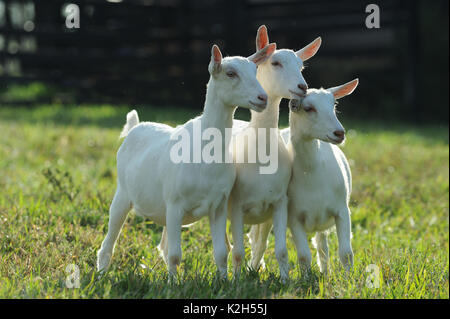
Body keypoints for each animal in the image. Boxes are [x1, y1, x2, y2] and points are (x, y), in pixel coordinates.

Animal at [96, 43, 276, 278]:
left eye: (255, 71)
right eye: (230, 73)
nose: (262, 98)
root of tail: (135, 127)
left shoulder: (218, 205)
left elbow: (220, 252)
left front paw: (223, 281)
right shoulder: (175, 204)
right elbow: (175, 255)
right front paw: (172, 284)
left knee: (163, 246)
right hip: (123, 194)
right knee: (108, 243)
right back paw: (101, 275)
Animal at [229, 25, 320, 280]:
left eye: (301, 66)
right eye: (276, 62)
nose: (302, 87)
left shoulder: (279, 201)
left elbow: (279, 250)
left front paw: (285, 281)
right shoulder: (236, 205)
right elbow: (237, 251)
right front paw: (235, 281)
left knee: (258, 240)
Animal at [253, 79, 358, 274]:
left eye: (334, 105)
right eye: (309, 108)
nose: (339, 133)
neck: (312, 175)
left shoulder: (342, 210)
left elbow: (346, 253)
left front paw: (350, 278)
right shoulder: (294, 217)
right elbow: (303, 256)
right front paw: (306, 278)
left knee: (322, 245)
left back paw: (325, 271)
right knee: (260, 243)